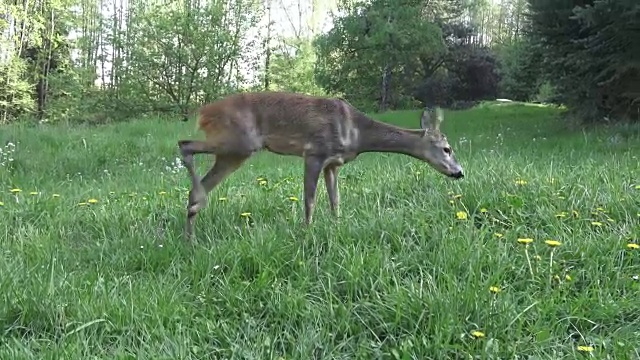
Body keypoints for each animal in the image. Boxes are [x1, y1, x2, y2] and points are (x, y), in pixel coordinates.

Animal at [178, 91, 462, 240]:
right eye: (447, 149)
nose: (459, 172)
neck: (357, 132)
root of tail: (203, 113)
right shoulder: (314, 152)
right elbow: (310, 200)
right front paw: (307, 233)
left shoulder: (333, 164)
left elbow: (335, 201)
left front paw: (337, 228)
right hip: (239, 142)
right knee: (184, 144)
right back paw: (198, 206)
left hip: (234, 152)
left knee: (194, 175)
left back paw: (191, 234)